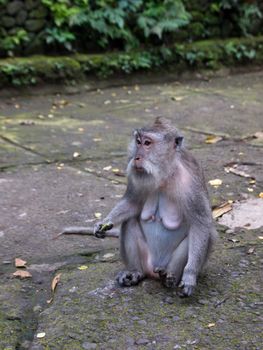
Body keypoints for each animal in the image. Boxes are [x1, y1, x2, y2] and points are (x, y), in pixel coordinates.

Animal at [66, 117, 219, 296]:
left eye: (147, 143)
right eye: (138, 142)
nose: (136, 158)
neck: (165, 175)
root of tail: (153, 270)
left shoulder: (191, 182)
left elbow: (200, 224)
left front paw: (190, 276)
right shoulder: (137, 178)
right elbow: (132, 203)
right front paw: (104, 222)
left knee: (205, 234)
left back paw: (170, 277)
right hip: (146, 260)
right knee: (129, 221)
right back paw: (135, 272)